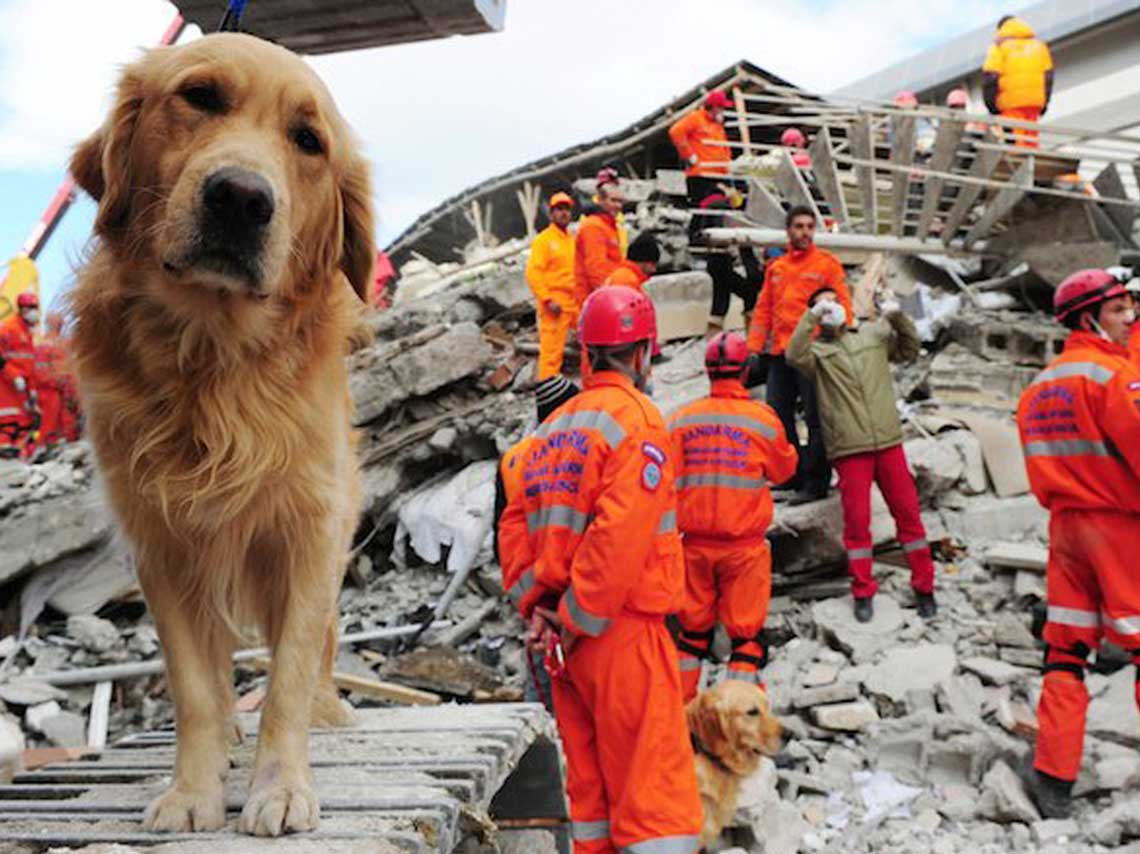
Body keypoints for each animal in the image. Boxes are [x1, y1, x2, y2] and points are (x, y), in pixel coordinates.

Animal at [67, 31, 373, 834]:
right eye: (199, 97)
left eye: (309, 141)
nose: (240, 197)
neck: (212, 361)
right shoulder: (163, 542)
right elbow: (195, 686)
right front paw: (193, 791)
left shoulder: (309, 532)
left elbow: (291, 671)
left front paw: (282, 786)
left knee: (321, 648)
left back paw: (330, 710)